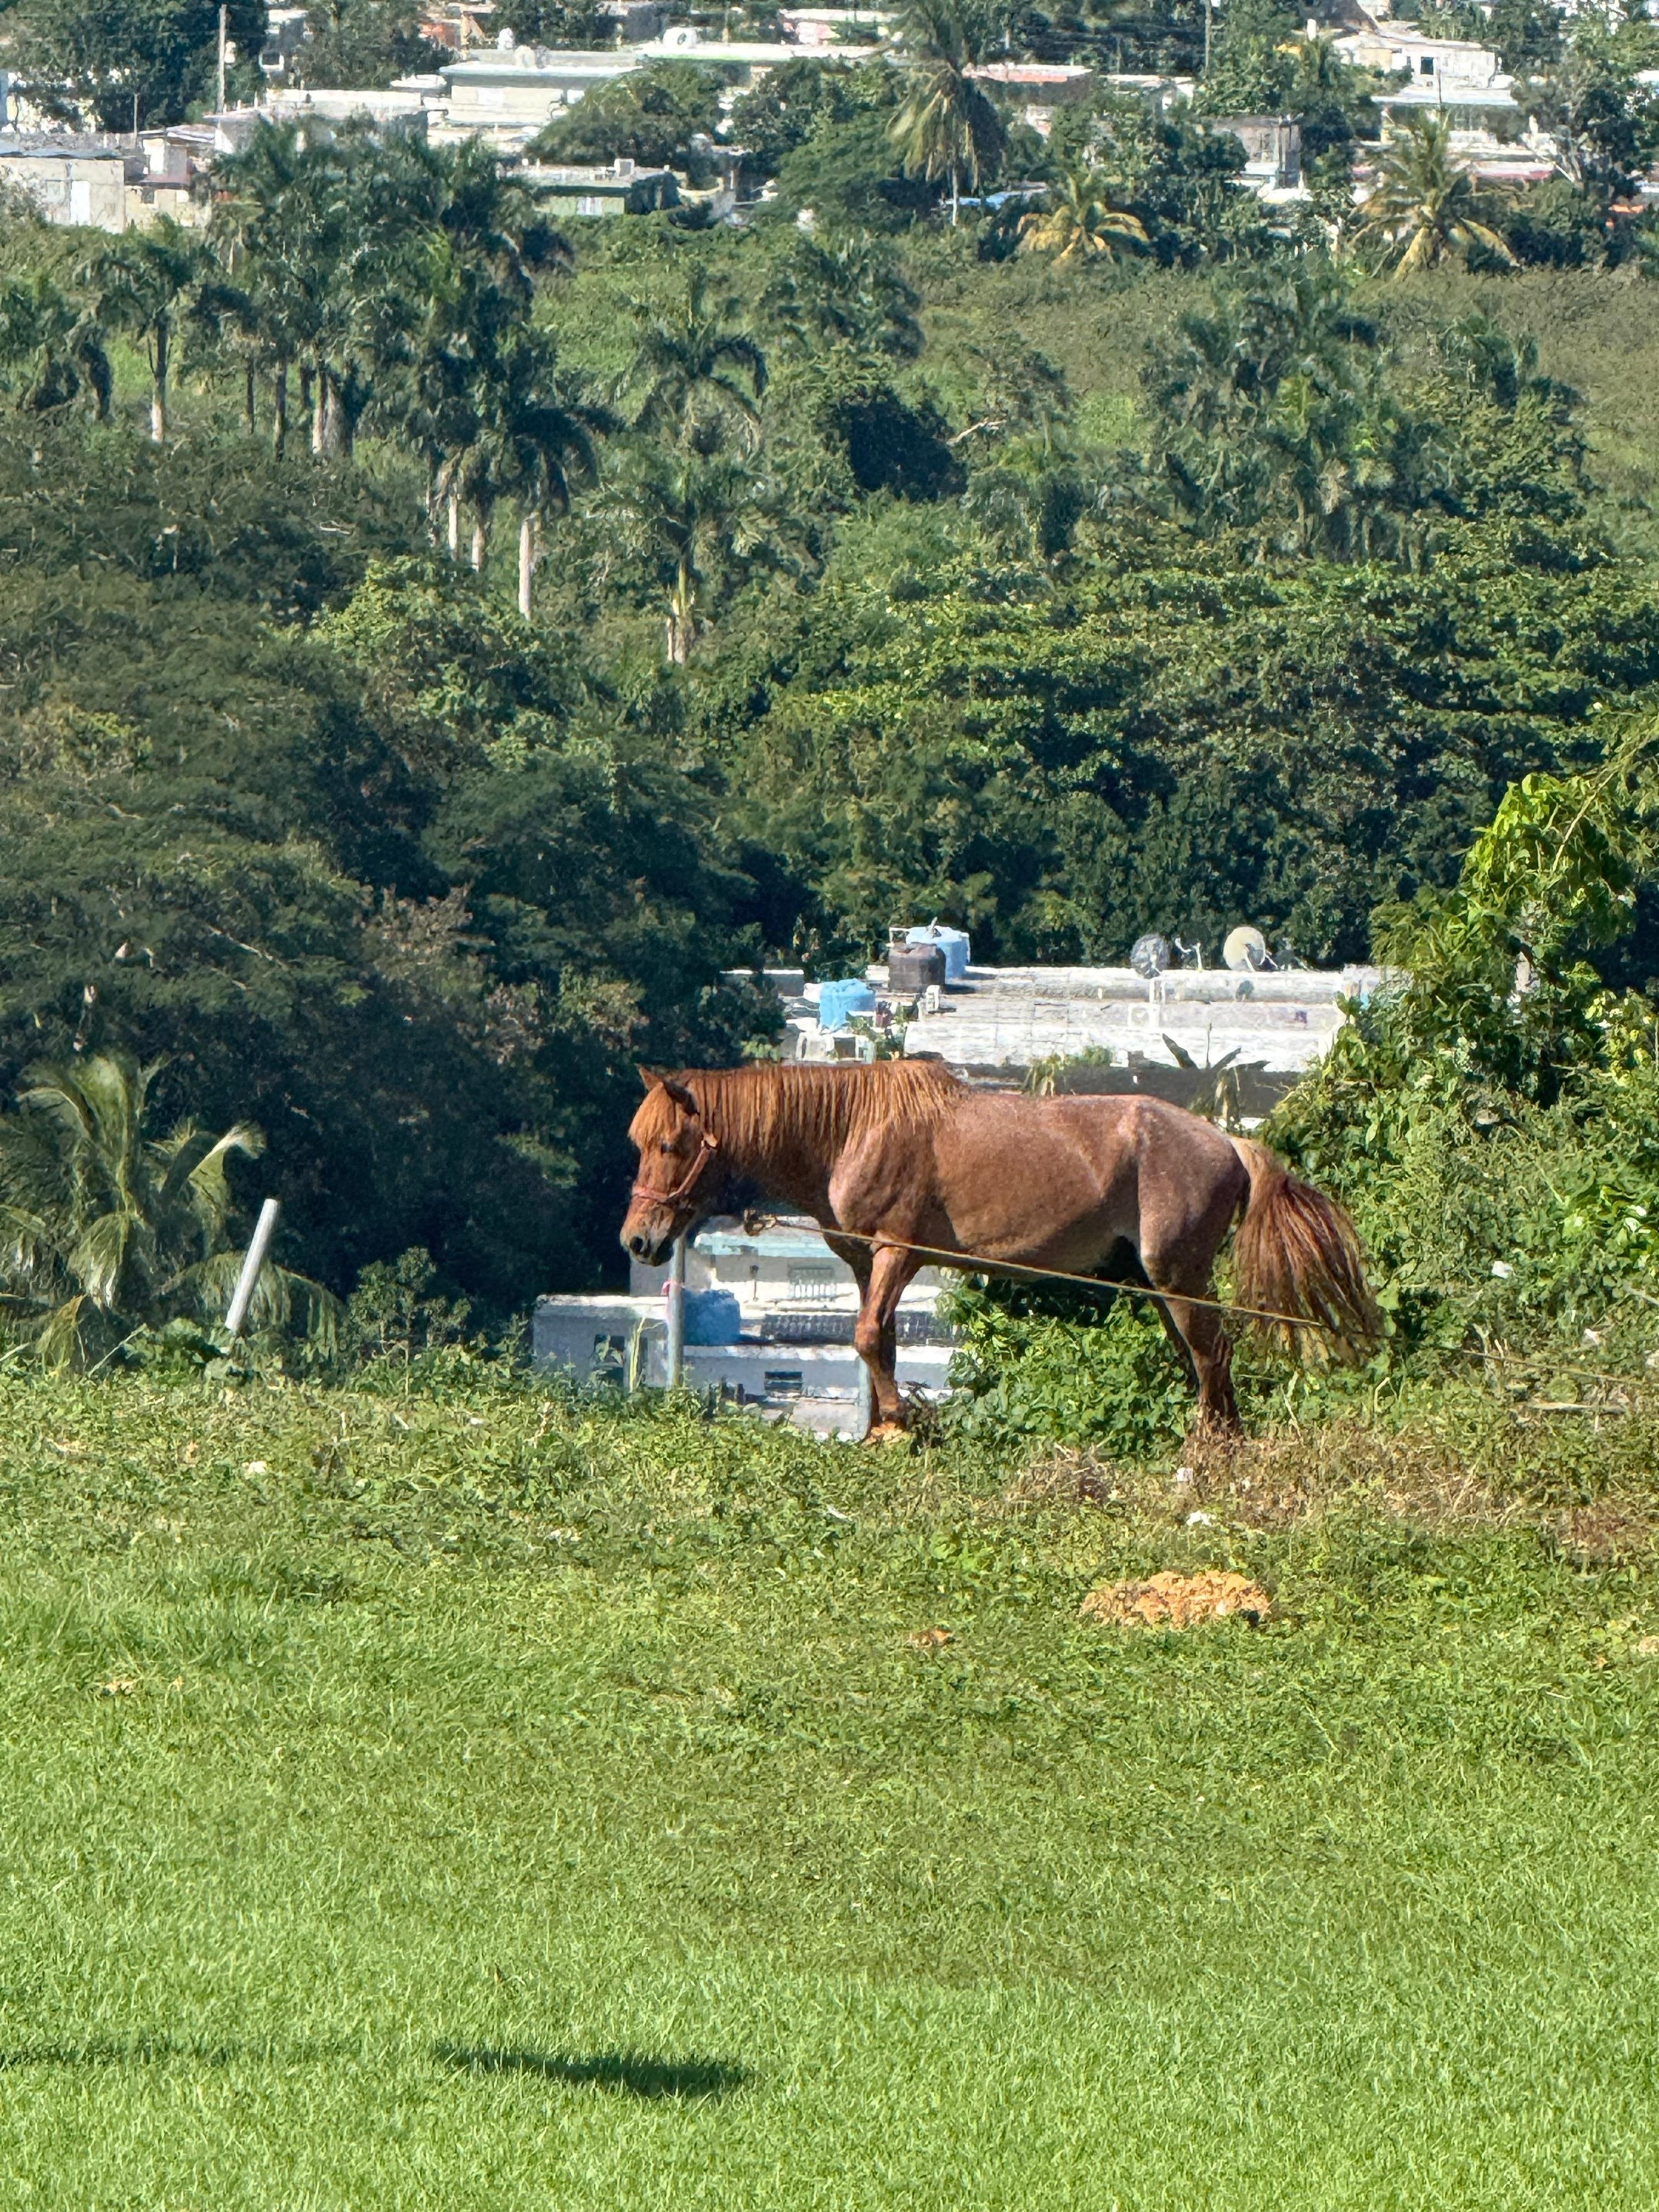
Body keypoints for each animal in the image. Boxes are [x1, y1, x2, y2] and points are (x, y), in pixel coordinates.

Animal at [620, 1060, 1380, 1442]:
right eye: (639, 1143)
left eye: (671, 1144)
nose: (638, 1240)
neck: (853, 1126)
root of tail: (1228, 1141)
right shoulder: (867, 1264)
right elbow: (878, 1341)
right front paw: (887, 1428)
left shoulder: (899, 1252)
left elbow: (866, 1337)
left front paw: (904, 1422)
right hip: (1163, 1286)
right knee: (1202, 1359)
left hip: (1180, 1276)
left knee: (1211, 1356)